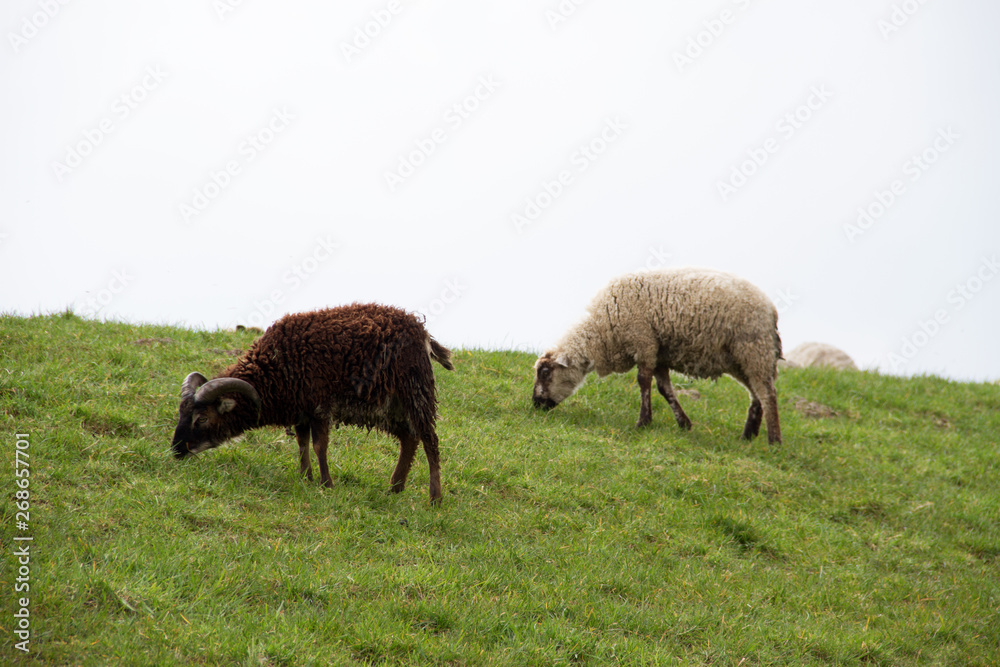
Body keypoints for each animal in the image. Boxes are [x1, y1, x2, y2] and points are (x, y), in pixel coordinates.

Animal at [170, 303, 454, 503]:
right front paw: (305, 478)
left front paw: (326, 484)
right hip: (388, 406)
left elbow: (319, 446)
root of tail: (422, 332)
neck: (274, 370)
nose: (176, 451)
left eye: (202, 418)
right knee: (409, 438)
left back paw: (434, 498)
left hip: (415, 391)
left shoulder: (319, 407)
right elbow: (302, 444)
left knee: (430, 441)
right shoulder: (301, 411)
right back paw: (395, 488)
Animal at [532, 268, 782, 444]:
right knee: (756, 394)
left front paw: (643, 422)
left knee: (768, 393)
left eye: (545, 372)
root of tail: (771, 309)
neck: (602, 329)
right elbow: (665, 389)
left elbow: (643, 381)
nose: (535, 404)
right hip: (742, 359)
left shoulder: (644, 342)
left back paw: (774, 441)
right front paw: (683, 424)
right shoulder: (660, 354)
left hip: (753, 349)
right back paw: (748, 436)